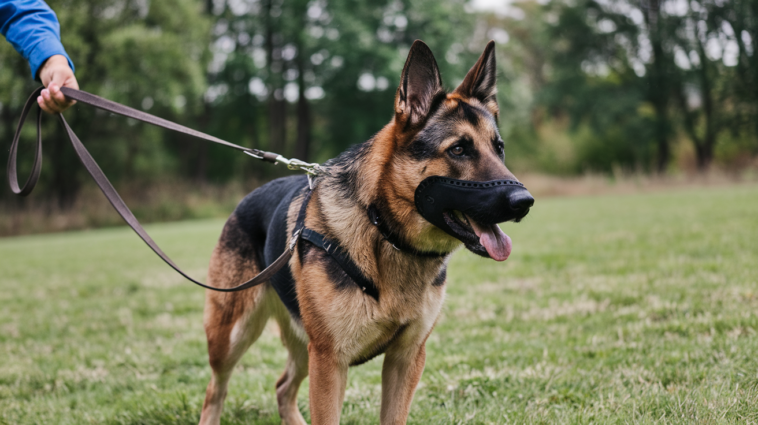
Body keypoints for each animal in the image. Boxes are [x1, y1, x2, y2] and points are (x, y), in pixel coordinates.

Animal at [199, 40, 536, 424]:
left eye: (499, 148)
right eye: (459, 149)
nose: (524, 201)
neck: (384, 230)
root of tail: (246, 199)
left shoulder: (405, 358)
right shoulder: (330, 362)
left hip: (302, 346)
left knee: (283, 387)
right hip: (233, 339)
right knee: (215, 390)